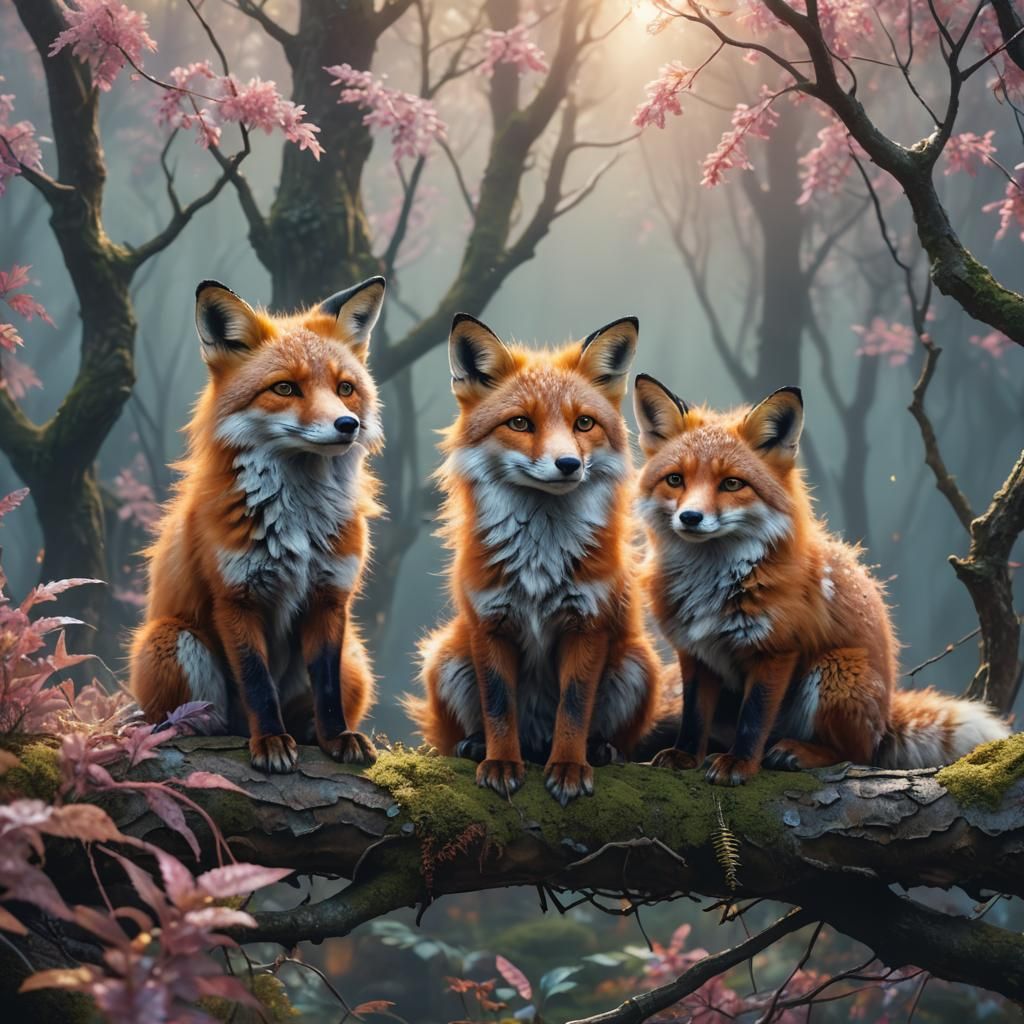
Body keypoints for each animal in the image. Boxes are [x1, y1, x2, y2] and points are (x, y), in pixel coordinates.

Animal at [129, 276, 387, 774]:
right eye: (285, 388)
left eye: (345, 388)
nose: (347, 424)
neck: (300, 526)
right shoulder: (236, 598)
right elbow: (257, 683)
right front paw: (268, 741)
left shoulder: (330, 598)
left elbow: (327, 690)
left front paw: (336, 737)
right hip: (171, 639)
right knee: (191, 722)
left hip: (357, 658)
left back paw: (310, 734)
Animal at [407, 313, 664, 805]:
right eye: (521, 423)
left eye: (584, 423)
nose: (568, 464)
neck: (540, 560)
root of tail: (536, 740)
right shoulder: (490, 623)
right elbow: (499, 706)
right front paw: (501, 763)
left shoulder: (588, 625)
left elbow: (574, 708)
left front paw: (568, 767)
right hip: (446, 656)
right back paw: (476, 745)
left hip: (637, 663)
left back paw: (597, 750)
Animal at [632, 373, 1009, 786]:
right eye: (675, 480)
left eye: (731, 484)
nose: (690, 517)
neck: (712, 583)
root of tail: (886, 716)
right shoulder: (696, 652)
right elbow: (694, 716)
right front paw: (685, 756)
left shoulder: (776, 650)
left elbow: (753, 720)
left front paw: (740, 764)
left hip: (835, 669)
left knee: (856, 753)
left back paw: (797, 752)